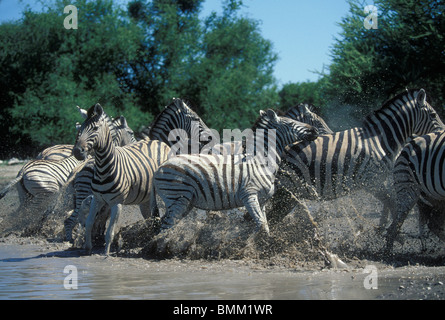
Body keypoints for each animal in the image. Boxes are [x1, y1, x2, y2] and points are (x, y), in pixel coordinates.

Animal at [73, 102, 170, 255]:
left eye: (95, 128)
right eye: (81, 128)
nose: (77, 152)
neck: (103, 167)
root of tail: (157, 141)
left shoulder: (116, 203)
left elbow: (110, 231)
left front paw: (106, 253)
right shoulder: (97, 199)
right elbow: (89, 223)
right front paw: (88, 248)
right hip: (146, 198)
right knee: (151, 217)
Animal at [153, 109, 320, 236]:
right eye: (292, 124)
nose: (315, 130)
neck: (260, 161)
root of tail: (159, 168)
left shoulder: (262, 200)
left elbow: (264, 224)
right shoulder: (249, 195)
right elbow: (261, 224)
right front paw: (256, 247)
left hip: (184, 202)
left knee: (163, 224)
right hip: (178, 198)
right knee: (165, 228)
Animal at [268, 89, 442, 230]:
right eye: (433, 115)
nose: (442, 131)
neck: (379, 140)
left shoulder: (380, 180)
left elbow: (390, 205)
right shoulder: (372, 182)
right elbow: (392, 205)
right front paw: (392, 235)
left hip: (289, 196)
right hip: (285, 193)